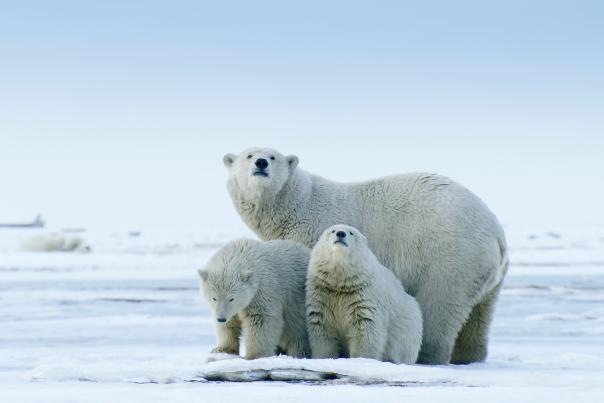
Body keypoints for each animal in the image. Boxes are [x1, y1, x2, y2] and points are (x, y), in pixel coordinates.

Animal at [224, 148, 508, 366]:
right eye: (249, 155)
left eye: (272, 156)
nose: (261, 163)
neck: (297, 204)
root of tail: (495, 231)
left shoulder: (312, 237)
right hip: (487, 275)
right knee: (479, 317)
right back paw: (469, 357)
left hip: (450, 257)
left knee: (439, 305)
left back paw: (426, 356)